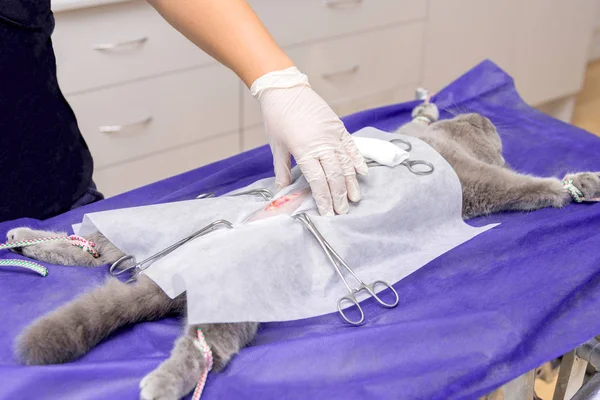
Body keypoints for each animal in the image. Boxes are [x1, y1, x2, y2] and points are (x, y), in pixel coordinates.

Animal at [10, 103, 600, 400]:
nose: (487, 119)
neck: (444, 141)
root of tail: (172, 274)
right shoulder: (476, 178)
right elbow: (521, 185)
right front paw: (574, 186)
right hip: (226, 281)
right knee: (204, 348)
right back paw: (160, 385)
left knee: (95, 251)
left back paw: (27, 240)